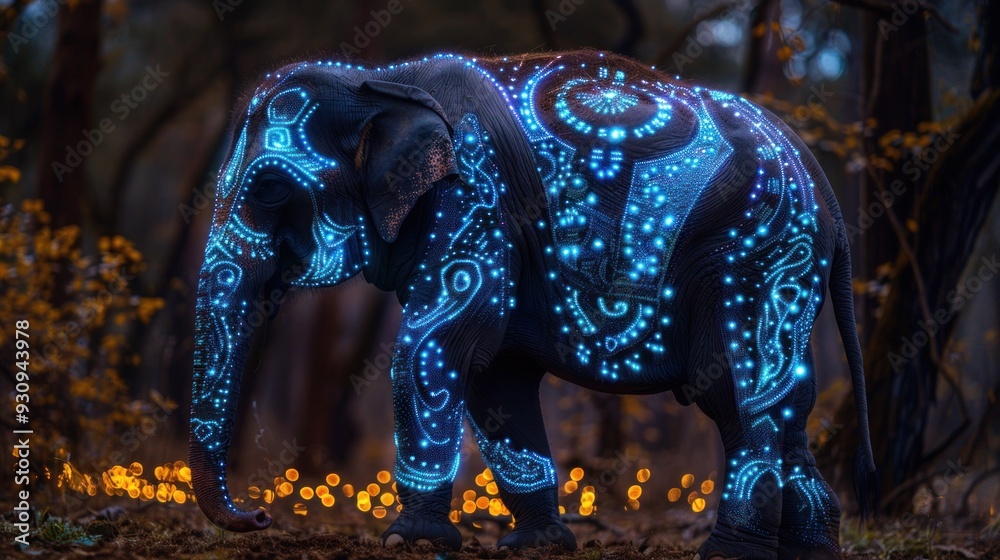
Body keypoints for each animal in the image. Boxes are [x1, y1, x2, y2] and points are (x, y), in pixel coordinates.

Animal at [188, 49, 877, 560]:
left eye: (269, 190)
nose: (260, 515)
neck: (380, 77)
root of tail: (826, 192)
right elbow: (496, 378)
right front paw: (538, 544)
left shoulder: (475, 200)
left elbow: (432, 351)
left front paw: (408, 541)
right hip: (786, 265)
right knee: (777, 404)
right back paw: (812, 550)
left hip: (757, 256)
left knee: (742, 391)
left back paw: (731, 552)